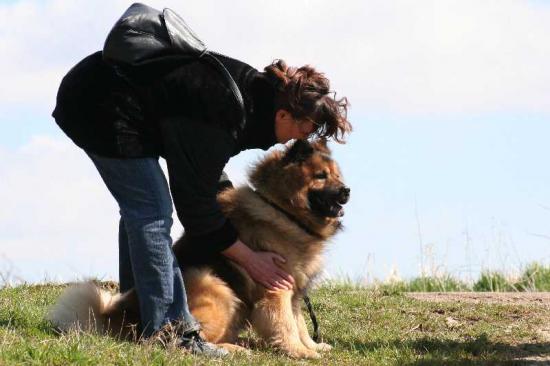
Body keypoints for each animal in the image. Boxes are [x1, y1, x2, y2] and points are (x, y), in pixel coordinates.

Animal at [47, 139, 350, 358]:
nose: (346, 190)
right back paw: (231, 349)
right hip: (216, 289)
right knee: (189, 336)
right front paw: (299, 353)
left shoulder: (296, 291)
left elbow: (300, 325)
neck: (282, 210)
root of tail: (122, 317)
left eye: (337, 176)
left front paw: (312, 346)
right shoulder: (276, 289)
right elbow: (285, 325)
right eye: (321, 176)